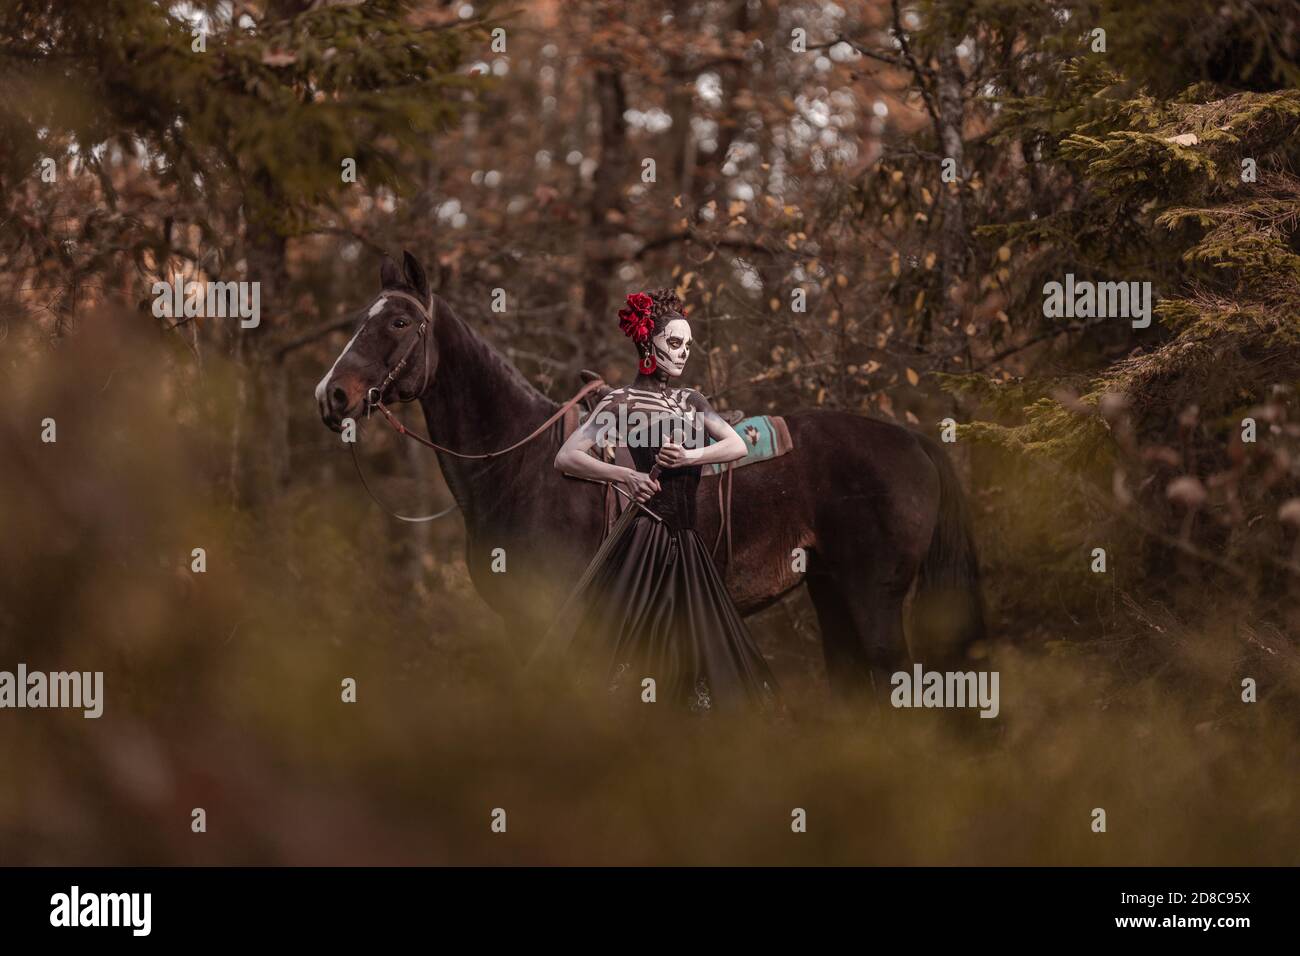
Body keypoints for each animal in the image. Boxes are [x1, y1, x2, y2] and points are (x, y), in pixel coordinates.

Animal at [317, 254, 982, 697]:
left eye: (399, 324)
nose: (332, 395)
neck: (521, 467)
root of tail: (914, 441)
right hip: (833, 593)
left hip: (875, 600)